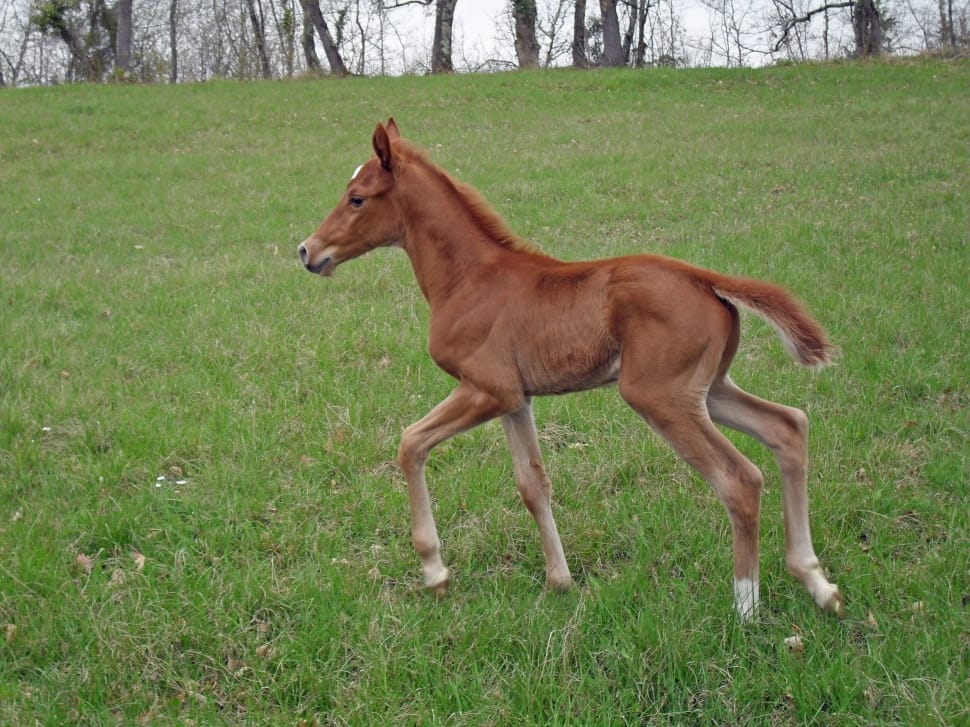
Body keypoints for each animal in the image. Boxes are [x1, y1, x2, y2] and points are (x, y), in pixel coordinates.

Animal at [297, 118, 843, 620]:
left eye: (357, 199)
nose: (307, 251)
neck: (470, 279)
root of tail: (704, 279)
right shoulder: (515, 400)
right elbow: (532, 484)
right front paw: (559, 581)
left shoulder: (485, 389)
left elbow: (410, 443)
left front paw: (435, 572)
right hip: (708, 390)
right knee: (788, 426)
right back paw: (818, 584)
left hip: (660, 396)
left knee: (739, 479)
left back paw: (746, 607)